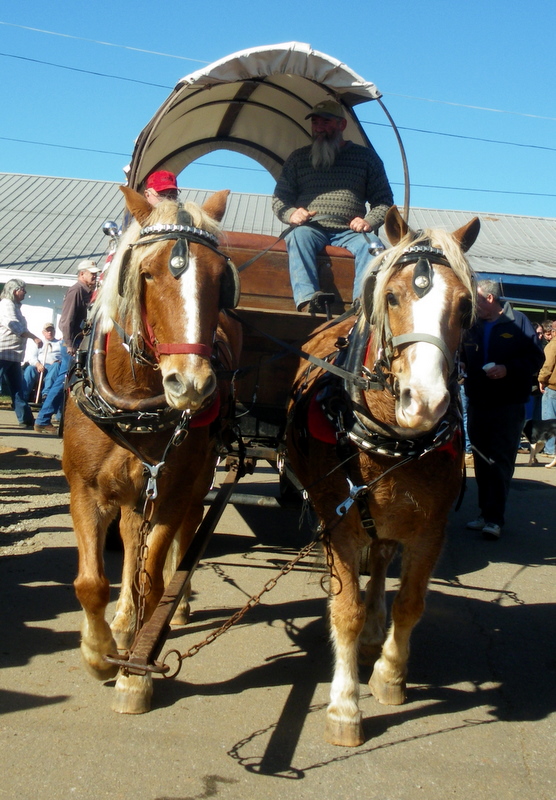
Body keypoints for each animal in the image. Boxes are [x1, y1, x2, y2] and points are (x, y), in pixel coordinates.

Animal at [62, 187, 242, 714]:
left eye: (221, 278)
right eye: (146, 273)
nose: (193, 384)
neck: (135, 397)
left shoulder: (172, 489)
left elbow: (151, 576)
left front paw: (133, 676)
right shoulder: (85, 489)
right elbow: (90, 583)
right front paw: (99, 653)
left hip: (192, 480)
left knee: (183, 533)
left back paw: (169, 610)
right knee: (128, 534)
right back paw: (122, 624)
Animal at [286, 205, 480, 746]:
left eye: (465, 307)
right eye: (392, 297)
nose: (427, 402)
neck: (393, 442)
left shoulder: (430, 529)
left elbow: (410, 603)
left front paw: (390, 674)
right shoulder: (337, 524)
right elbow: (345, 611)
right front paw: (344, 705)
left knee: (380, 563)